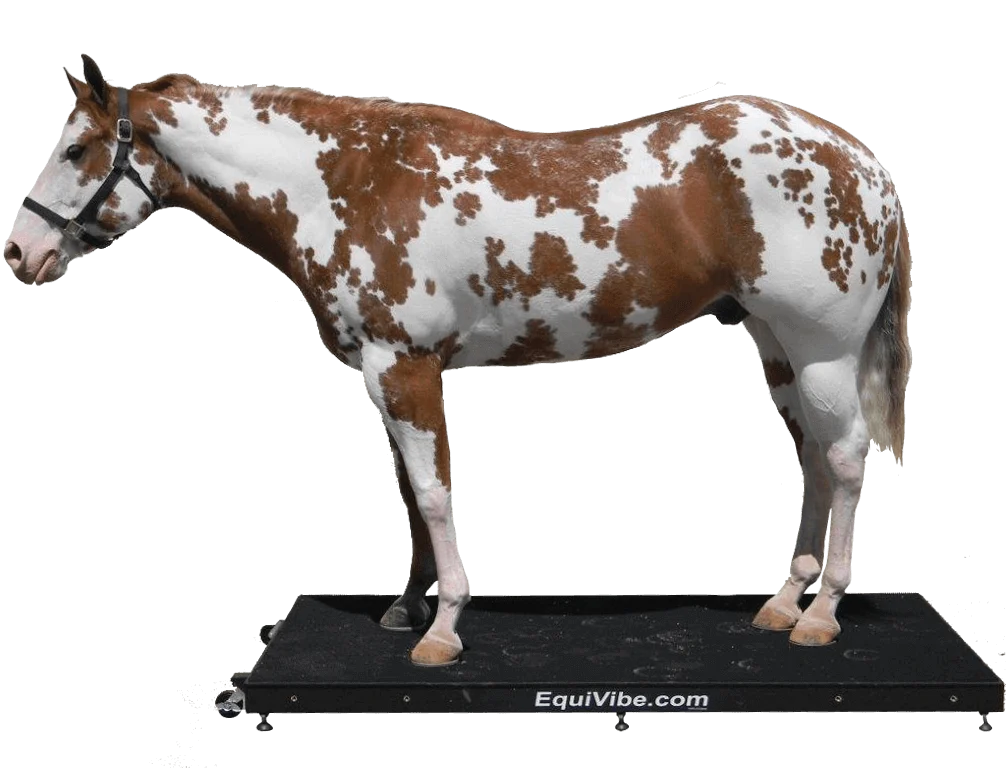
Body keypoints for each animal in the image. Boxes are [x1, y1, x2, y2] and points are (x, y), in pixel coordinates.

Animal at [6, 57, 911, 667]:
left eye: (79, 149)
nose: (19, 253)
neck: (346, 185)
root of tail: (857, 156)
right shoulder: (387, 373)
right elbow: (407, 494)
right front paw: (405, 608)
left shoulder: (405, 367)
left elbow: (437, 495)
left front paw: (441, 627)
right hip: (778, 346)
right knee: (812, 462)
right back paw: (783, 601)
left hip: (822, 348)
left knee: (842, 461)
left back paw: (822, 613)